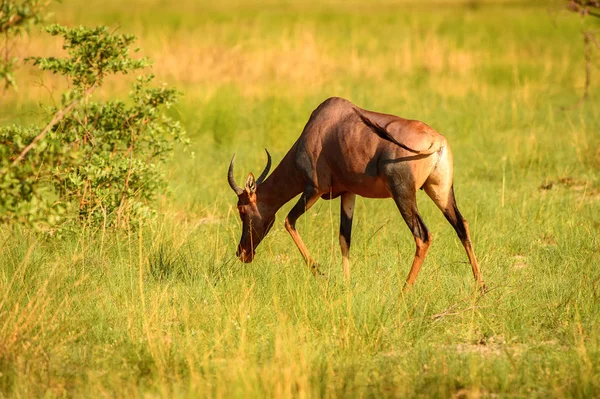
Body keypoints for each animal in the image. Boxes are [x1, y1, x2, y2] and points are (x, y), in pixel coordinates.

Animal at [227, 95, 486, 292]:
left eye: (242, 209)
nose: (242, 253)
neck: (321, 127)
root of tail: (436, 141)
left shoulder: (314, 190)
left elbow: (289, 221)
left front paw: (322, 274)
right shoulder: (348, 194)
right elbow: (345, 238)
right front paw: (346, 283)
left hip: (403, 194)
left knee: (422, 235)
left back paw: (404, 291)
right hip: (440, 191)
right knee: (461, 225)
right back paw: (480, 287)